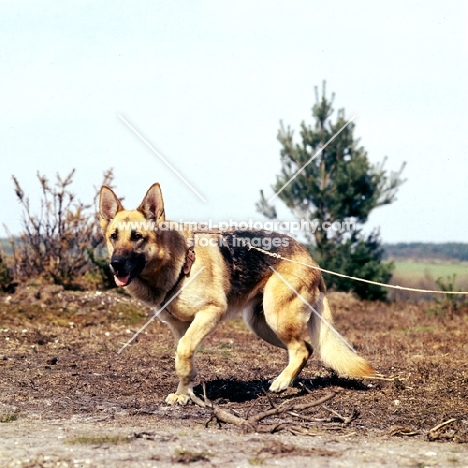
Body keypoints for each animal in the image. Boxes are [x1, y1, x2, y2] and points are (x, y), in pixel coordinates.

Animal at [100, 183, 374, 406]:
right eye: (113, 237)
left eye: (137, 237)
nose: (115, 264)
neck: (178, 264)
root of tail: (311, 260)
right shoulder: (181, 327)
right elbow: (184, 358)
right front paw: (183, 393)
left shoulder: (210, 313)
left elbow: (183, 353)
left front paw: (185, 391)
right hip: (262, 325)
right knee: (305, 348)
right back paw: (289, 381)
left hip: (276, 318)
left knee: (301, 349)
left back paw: (281, 383)